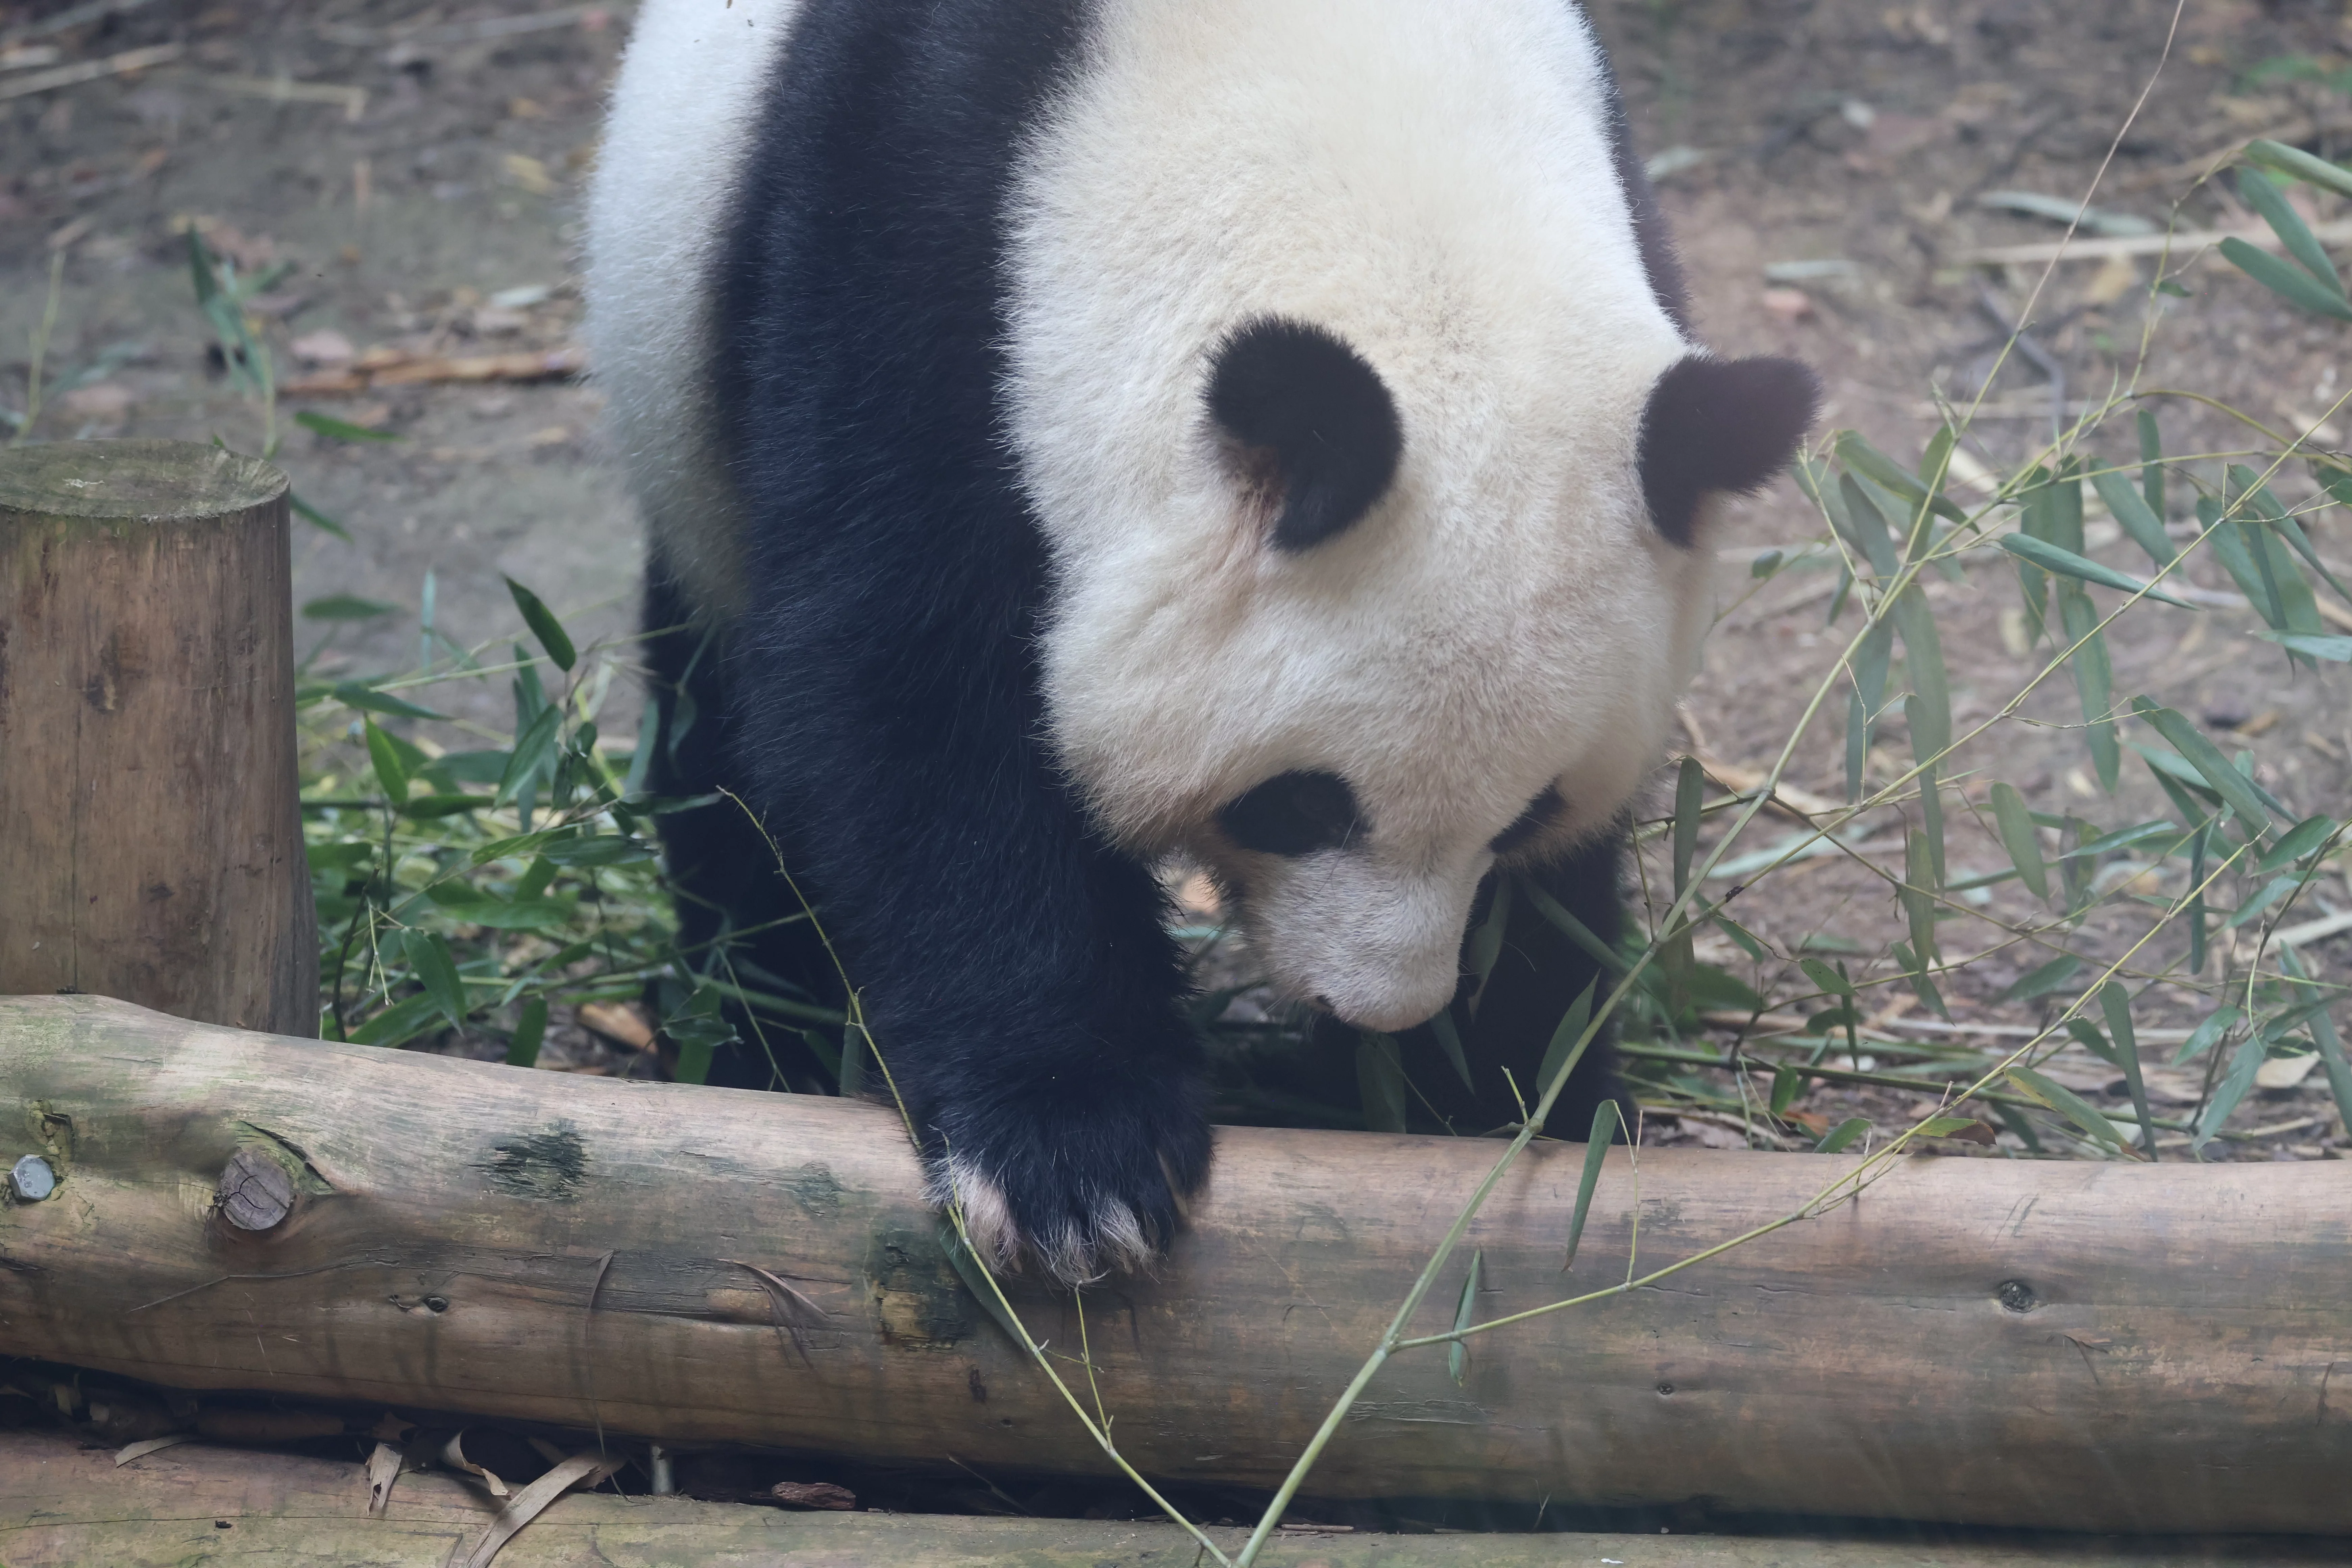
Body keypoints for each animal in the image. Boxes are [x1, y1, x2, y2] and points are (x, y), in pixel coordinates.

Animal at [585, 0, 1819, 1286]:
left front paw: (1495, 1097)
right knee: (720, 737)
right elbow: (903, 683)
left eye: (1526, 811)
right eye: (1304, 802)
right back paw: (758, 1028)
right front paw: (1074, 1161)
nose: (1383, 1006)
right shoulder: (910, 247)